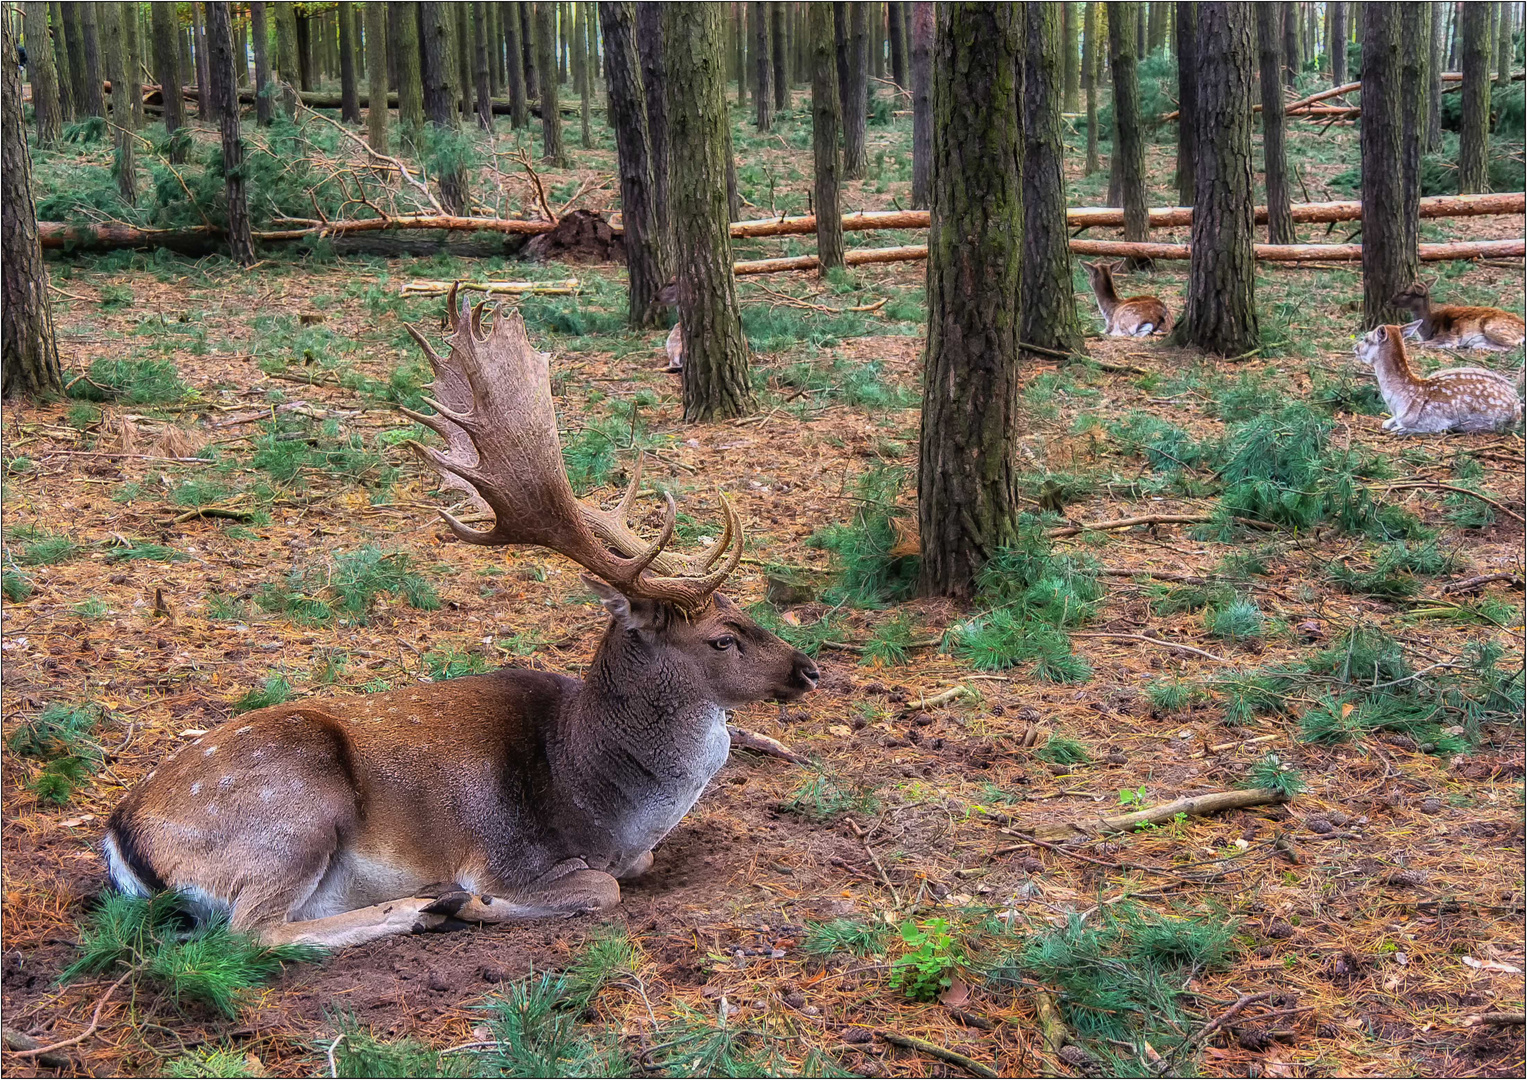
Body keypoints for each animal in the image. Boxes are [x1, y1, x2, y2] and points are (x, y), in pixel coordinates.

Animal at [1355, 325, 1520, 433]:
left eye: (1366, 338)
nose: (1355, 348)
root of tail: (1518, 400)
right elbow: (1386, 423)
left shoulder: (1434, 422)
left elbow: (1400, 429)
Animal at [1392, 282, 1520, 351]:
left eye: (1407, 293)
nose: (1391, 300)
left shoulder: (1448, 336)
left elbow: (1420, 344)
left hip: (1493, 328)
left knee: (1513, 345)